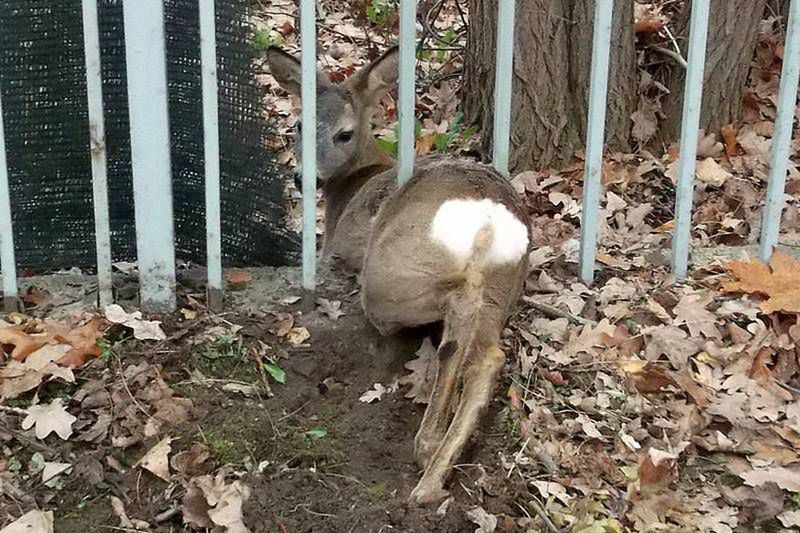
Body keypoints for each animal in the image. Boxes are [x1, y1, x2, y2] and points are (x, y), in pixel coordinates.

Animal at [268, 44, 532, 502]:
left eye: (344, 134)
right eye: (299, 125)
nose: (304, 179)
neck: (354, 183)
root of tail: (490, 214)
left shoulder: (342, 248)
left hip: (391, 276)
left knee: (454, 318)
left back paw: (427, 449)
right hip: (500, 290)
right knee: (487, 357)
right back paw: (434, 477)